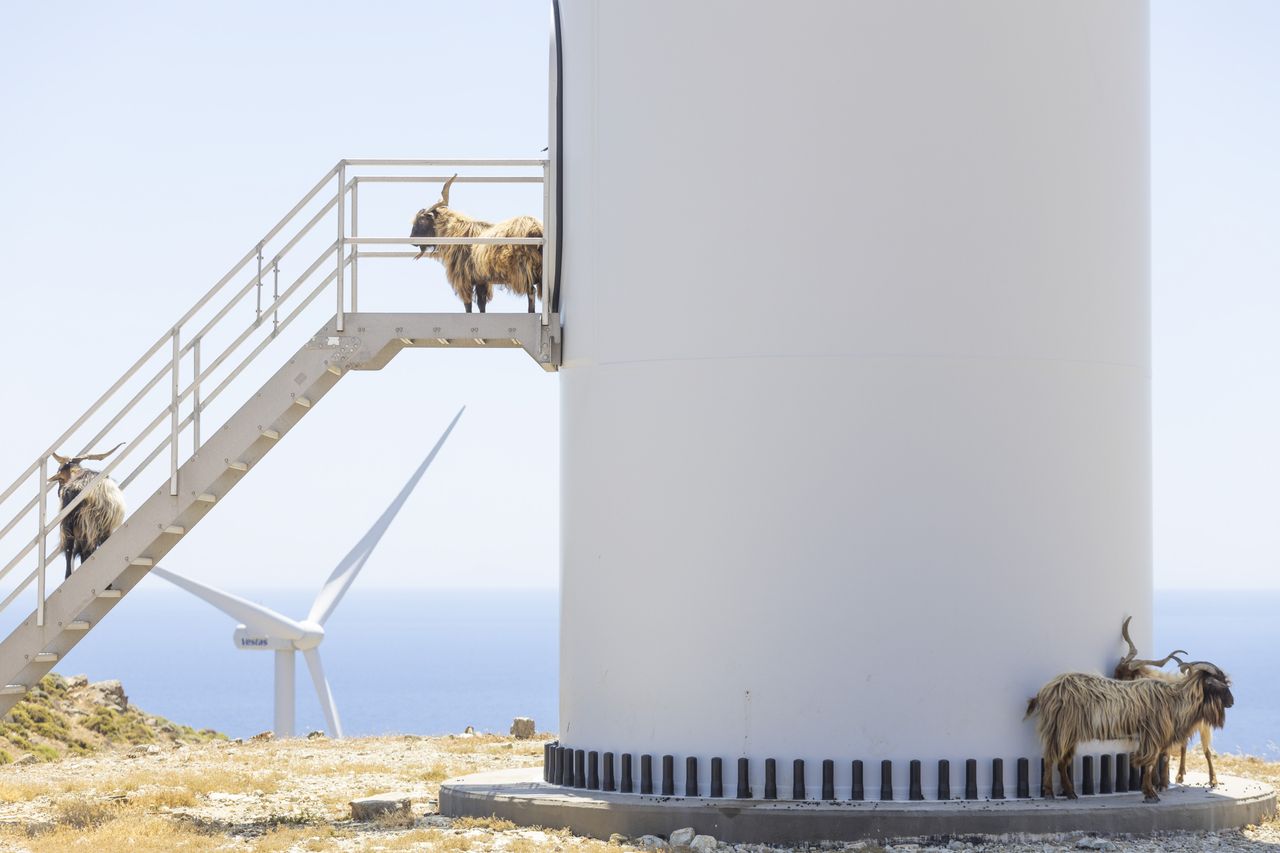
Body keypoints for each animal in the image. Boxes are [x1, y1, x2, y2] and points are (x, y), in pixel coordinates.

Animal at [49, 445, 125, 578]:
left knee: (78, 550)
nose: (58, 492)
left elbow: (69, 549)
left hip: (82, 524)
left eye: (60, 478)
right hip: (102, 526)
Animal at [409, 175, 540, 312]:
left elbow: (468, 307)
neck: (454, 231)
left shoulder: (464, 280)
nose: (412, 239)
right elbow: (482, 306)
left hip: (524, 272)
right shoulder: (481, 282)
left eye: (422, 220)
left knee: (531, 292)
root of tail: (535, 228)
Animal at [1029, 655, 1228, 804]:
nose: (1231, 701)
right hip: (1060, 728)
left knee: (1062, 762)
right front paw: (1151, 794)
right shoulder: (1152, 735)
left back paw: (1070, 793)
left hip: (1068, 732)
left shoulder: (1151, 736)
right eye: (1217, 682)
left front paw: (1152, 790)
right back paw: (1049, 792)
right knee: (1050, 758)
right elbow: (1149, 763)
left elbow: (1152, 762)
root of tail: (1045, 691)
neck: (1175, 699)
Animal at [1116, 612, 1213, 783]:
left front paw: (1160, 782)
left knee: (1207, 750)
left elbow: (1164, 755)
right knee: (1184, 747)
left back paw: (1213, 780)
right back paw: (1180, 775)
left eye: (1125, 676)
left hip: (1203, 726)